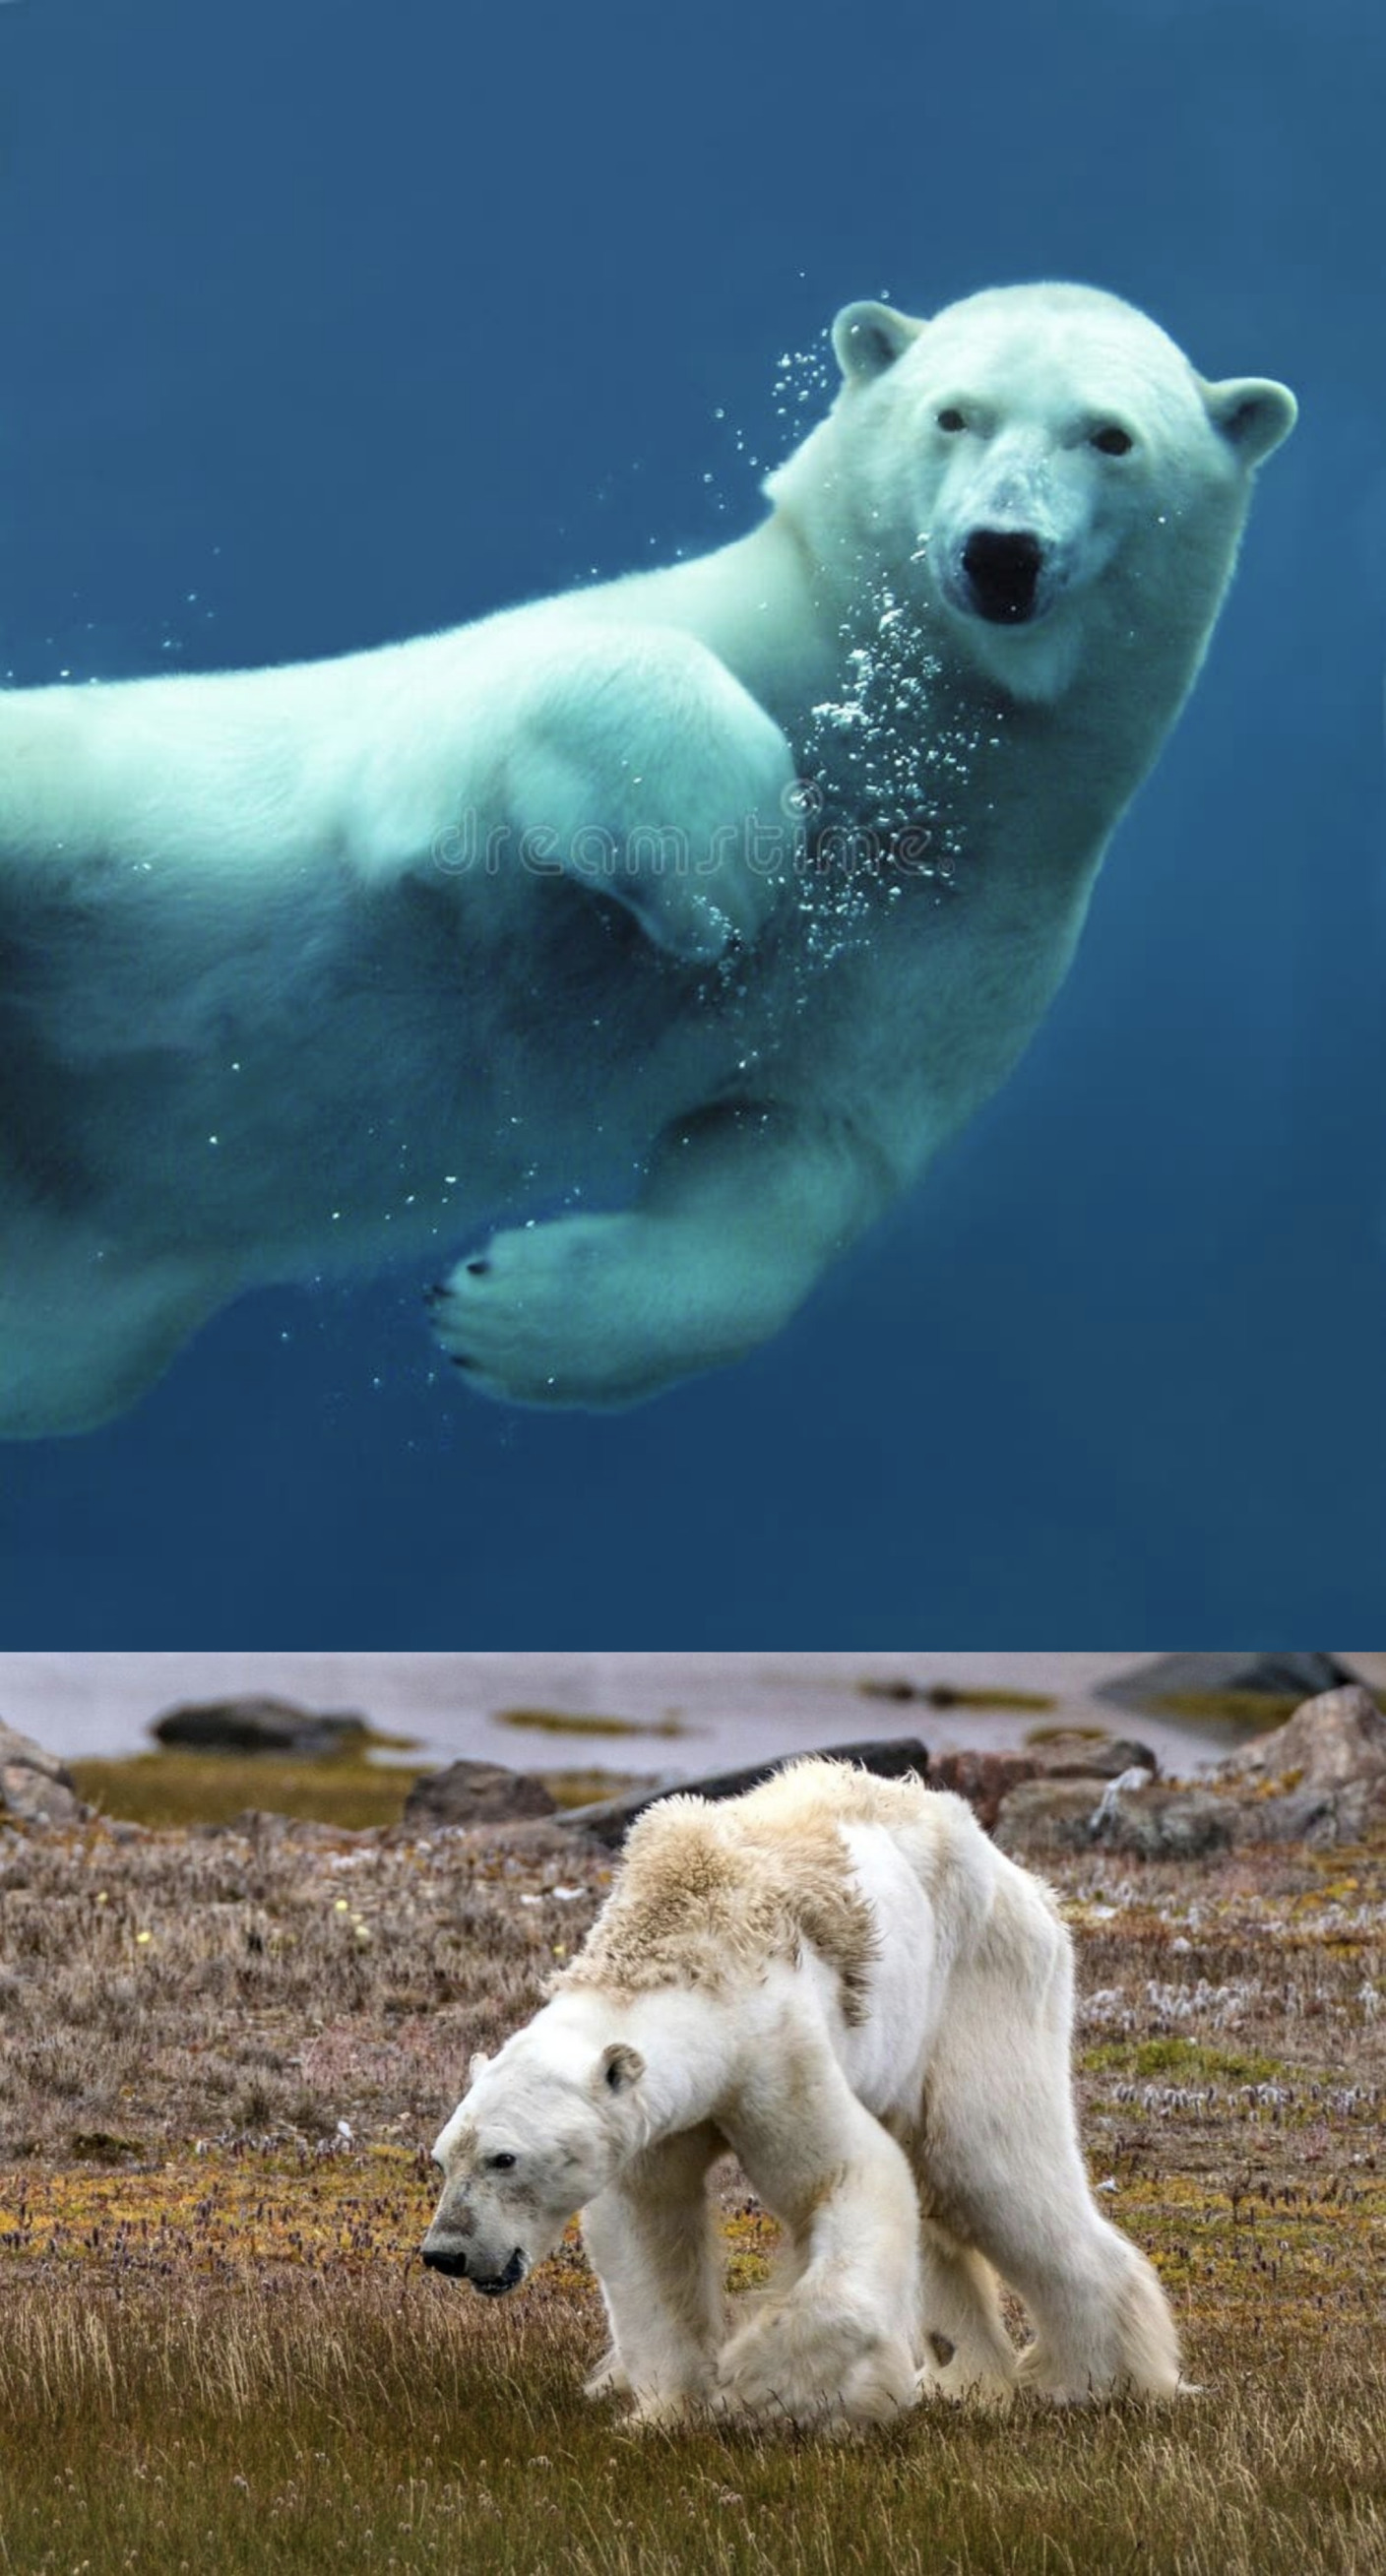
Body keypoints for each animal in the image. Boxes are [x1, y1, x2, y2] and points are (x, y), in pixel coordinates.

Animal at [0, 283, 1295, 1436]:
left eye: (1110, 435)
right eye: (953, 413)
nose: (1002, 552)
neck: (912, 741)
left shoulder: (975, 922)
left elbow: (798, 1156)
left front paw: (504, 1315)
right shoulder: (564, 680)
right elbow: (498, 728)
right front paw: (730, 861)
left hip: (93, 1303)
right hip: (81, 804)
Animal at [422, 1757, 1182, 2429]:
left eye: (504, 2157)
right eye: (442, 2156)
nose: (444, 2252)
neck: (681, 1942)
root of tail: (1024, 1880)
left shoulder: (773, 2050)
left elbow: (845, 2176)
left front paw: (765, 2387)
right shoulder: (653, 2118)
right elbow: (648, 2225)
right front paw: (666, 2409)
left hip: (980, 1986)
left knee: (990, 2167)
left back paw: (1094, 2379)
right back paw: (966, 2377)